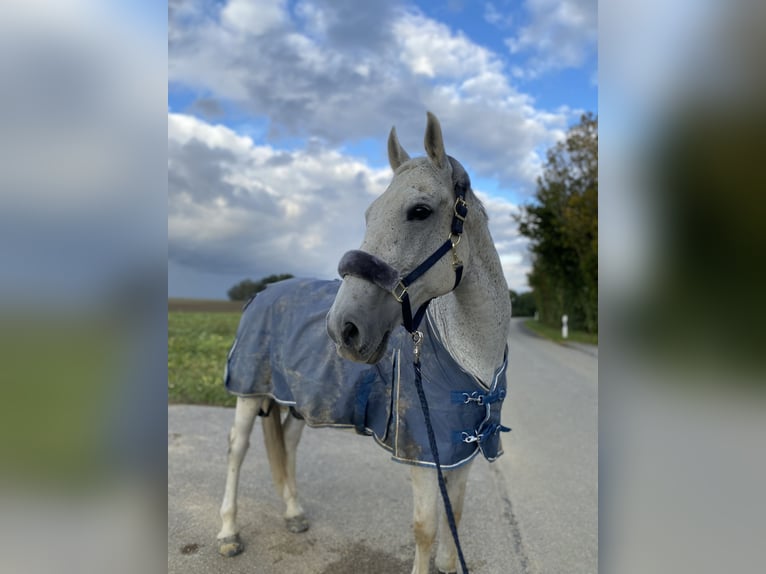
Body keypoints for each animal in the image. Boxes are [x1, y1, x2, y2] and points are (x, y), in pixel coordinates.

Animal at [219, 113, 512, 574]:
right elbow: (426, 529)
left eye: (419, 211)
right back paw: (229, 533)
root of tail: (261, 293)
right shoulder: (422, 455)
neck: (469, 358)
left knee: (288, 444)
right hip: (249, 392)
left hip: (298, 401)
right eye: (369, 213)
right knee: (237, 449)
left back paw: (294, 513)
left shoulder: (457, 453)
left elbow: (455, 519)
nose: (343, 328)